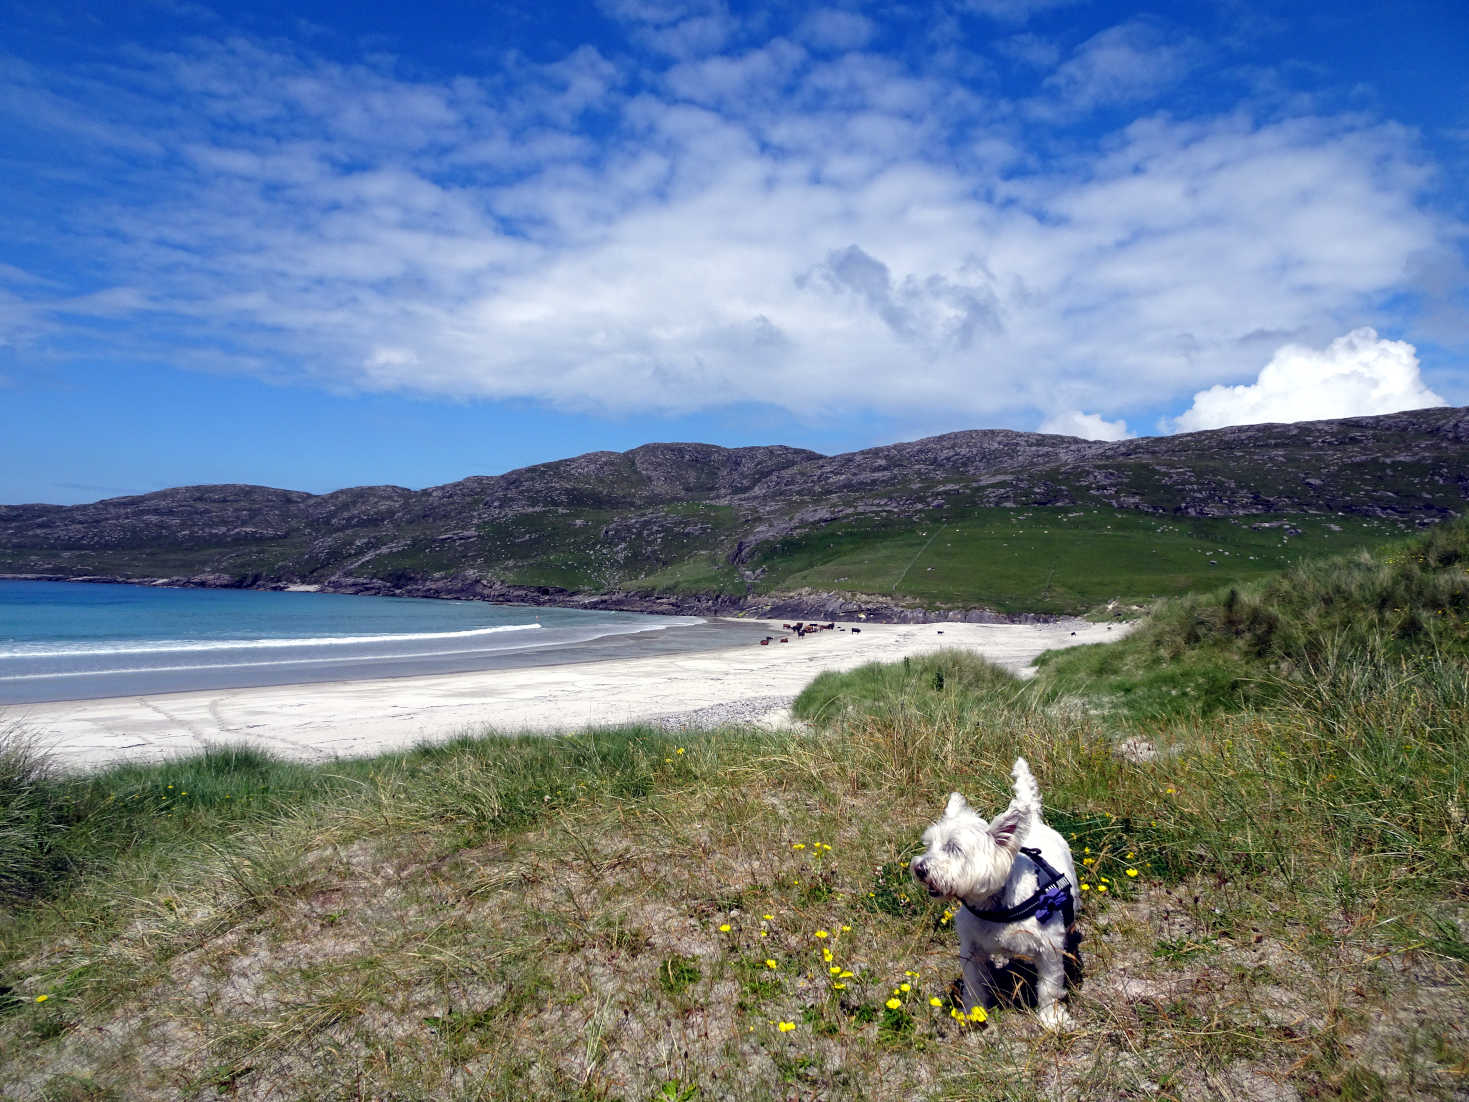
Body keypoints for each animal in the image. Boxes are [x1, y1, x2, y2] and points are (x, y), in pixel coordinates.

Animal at [910, 758, 1087, 1034]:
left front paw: (1052, 1019)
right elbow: (973, 985)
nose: (920, 868)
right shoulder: (971, 950)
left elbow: (1049, 987)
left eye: (954, 848)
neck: (994, 907)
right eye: (929, 845)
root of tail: (1034, 821)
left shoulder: (1048, 949)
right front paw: (973, 1013)